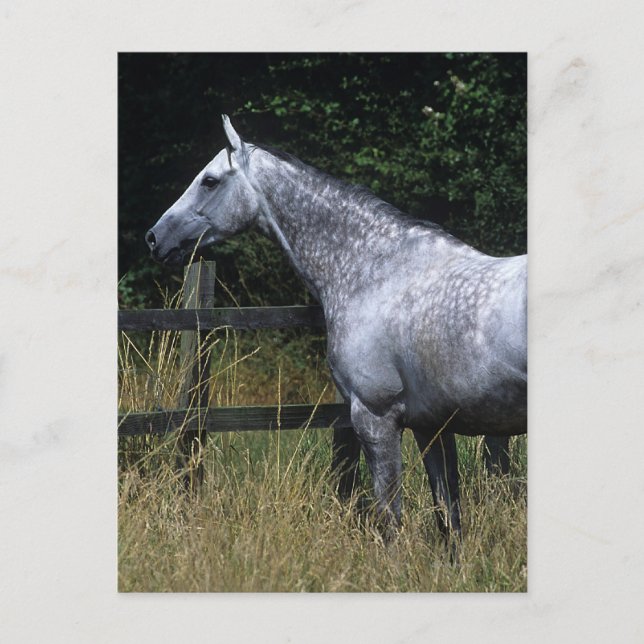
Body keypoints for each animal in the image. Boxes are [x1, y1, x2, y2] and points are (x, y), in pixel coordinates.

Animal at [145, 115, 527, 539]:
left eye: (209, 181)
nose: (155, 238)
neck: (377, 276)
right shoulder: (433, 428)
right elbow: (449, 521)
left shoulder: (376, 418)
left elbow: (390, 520)